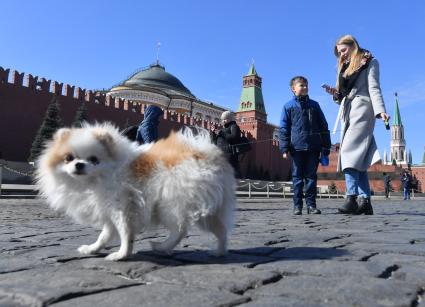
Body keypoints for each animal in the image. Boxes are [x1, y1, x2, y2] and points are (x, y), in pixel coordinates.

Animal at [35, 123, 235, 262]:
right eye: (68, 158)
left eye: (94, 159)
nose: (79, 164)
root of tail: (205, 153)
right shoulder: (108, 210)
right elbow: (105, 235)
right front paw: (92, 249)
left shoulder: (122, 207)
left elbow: (125, 233)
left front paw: (121, 255)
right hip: (207, 209)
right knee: (221, 231)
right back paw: (219, 252)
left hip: (170, 203)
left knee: (180, 229)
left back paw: (162, 246)